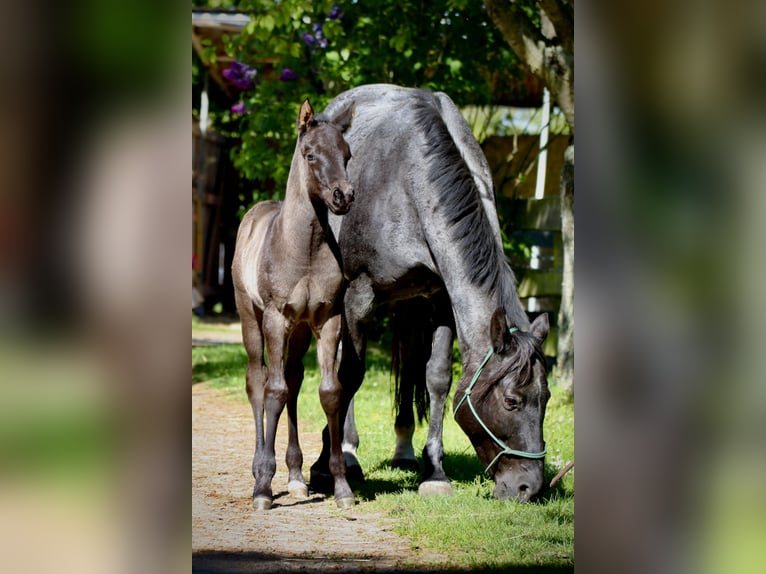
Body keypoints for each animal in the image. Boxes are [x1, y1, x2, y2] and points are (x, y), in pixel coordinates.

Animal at [232, 100, 358, 512]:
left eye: (347, 155)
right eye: (310, 154)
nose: (343, 196)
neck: (304, 249)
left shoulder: (327, 320)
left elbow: (330, 392)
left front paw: (341, 487)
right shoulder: (276, 319)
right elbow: (272, 391)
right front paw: (262, 488)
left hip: (301, 332)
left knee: (293, 380)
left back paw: (296, 477)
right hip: (251, 319)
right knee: (258, 381)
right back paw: (261, 469)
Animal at [312, 85, 552, 504]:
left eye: (548, 398)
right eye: (512, 401)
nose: (529, 487)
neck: (410, 184)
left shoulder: (441, 300)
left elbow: (437, 378)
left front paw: (435, 471)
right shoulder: (358, 297)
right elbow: (350, 374)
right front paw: (330, 460)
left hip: (410, 307)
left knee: (410, 366)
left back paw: (403, 449)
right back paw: (349, 450)